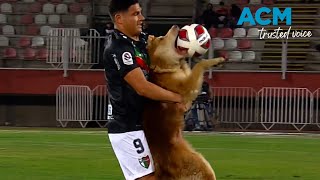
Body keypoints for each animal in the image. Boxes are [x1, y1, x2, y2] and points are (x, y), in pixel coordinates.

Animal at [143, 25, 225, 180]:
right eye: (161, 38)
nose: (175, 26)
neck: (165, 69)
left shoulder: (188, 77)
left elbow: (190, 67)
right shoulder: (188, 87)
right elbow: (200, 65)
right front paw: (215, 60)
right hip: (201, 165)